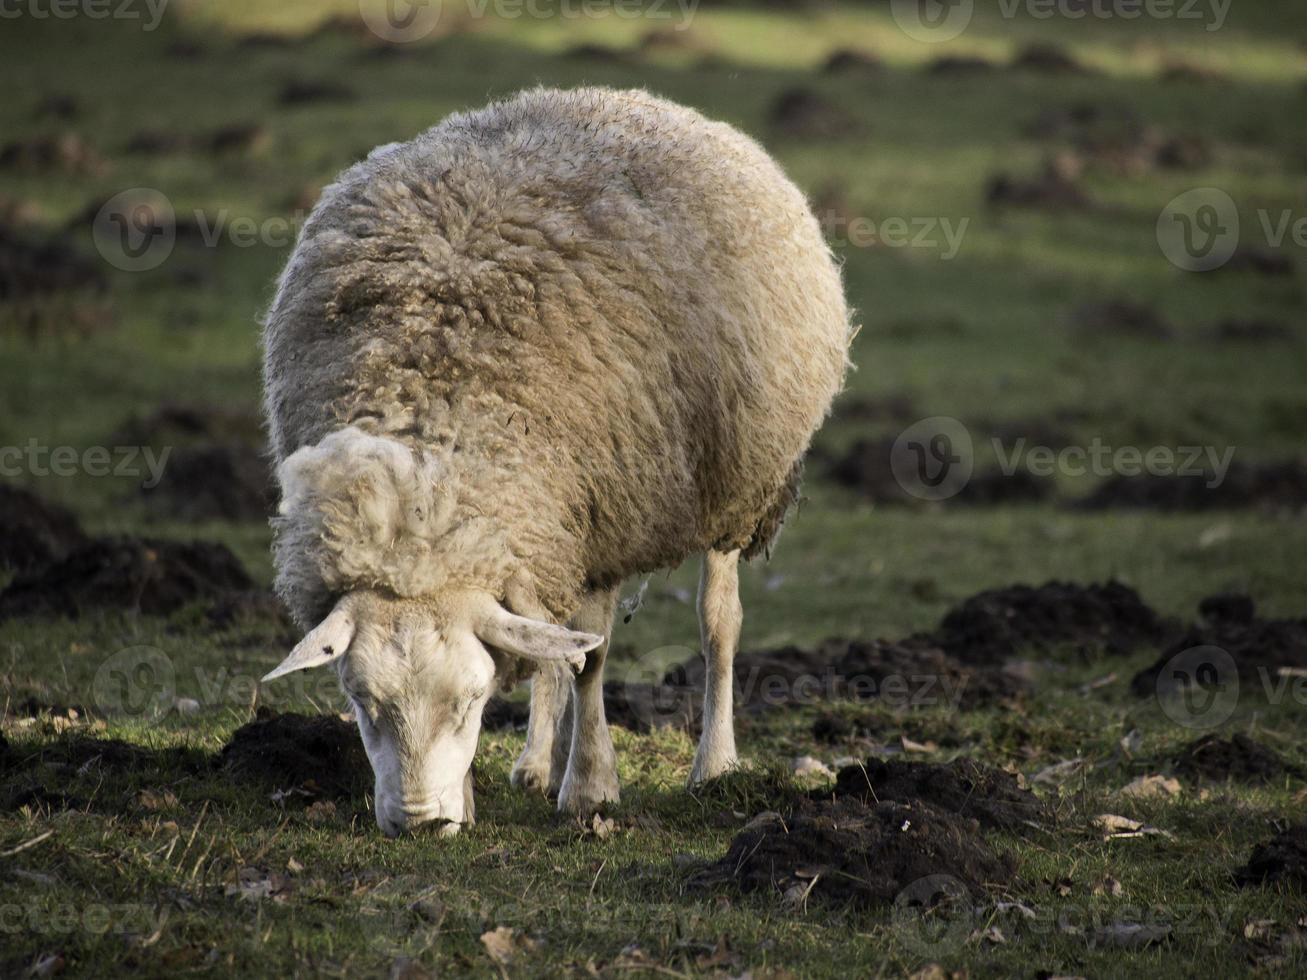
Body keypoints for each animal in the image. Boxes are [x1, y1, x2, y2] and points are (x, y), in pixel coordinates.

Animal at [262, 88, 857, 836]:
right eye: (361, 702)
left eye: (471, 701)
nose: (419, 823)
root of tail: (630, 99)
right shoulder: (548, 517)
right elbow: (553, 651)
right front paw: (486, 792)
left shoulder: (608, 522)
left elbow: (592, 659)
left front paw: (592, 790)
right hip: (558, 526)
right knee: (547, 639)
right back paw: (535, 765)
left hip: (731, 488)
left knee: (717, 622)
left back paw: (712, 765)